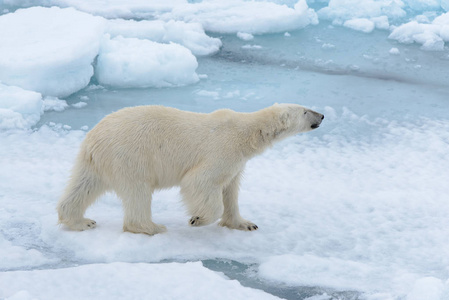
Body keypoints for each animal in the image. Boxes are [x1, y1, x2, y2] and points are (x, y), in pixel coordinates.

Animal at [57, 104, 322, 236]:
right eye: (305, 110)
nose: (322, 115)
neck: (247, 132)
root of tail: (94, 138)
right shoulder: (222, 150)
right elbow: (200, 182)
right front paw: (198, 219)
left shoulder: (237, 163)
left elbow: (231, 190)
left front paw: (245, 224)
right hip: (130, 156)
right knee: (138, 191)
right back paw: (151, 227)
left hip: (96, 161)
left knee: (83, 186)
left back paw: (81, 221)